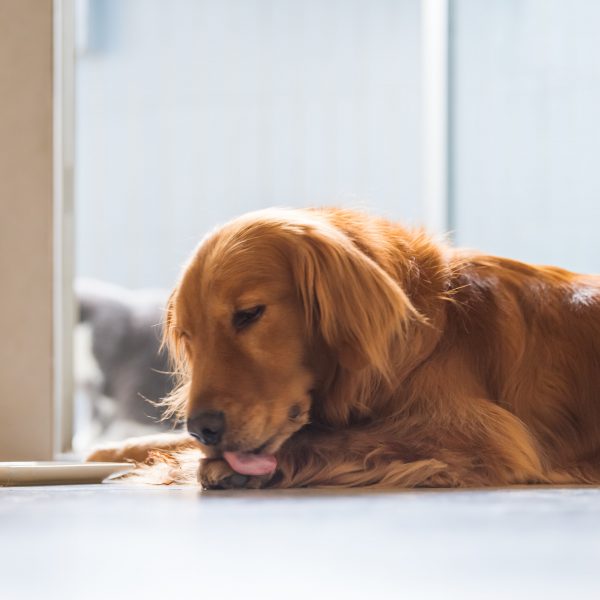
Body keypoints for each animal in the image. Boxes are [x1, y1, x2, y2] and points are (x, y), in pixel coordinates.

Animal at [88, 206, 600, 488]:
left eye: (249, 314)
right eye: (189, 336)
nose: (204, 428)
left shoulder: (481, 432)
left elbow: (343, 437)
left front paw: (203, 465)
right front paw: (115, 451)